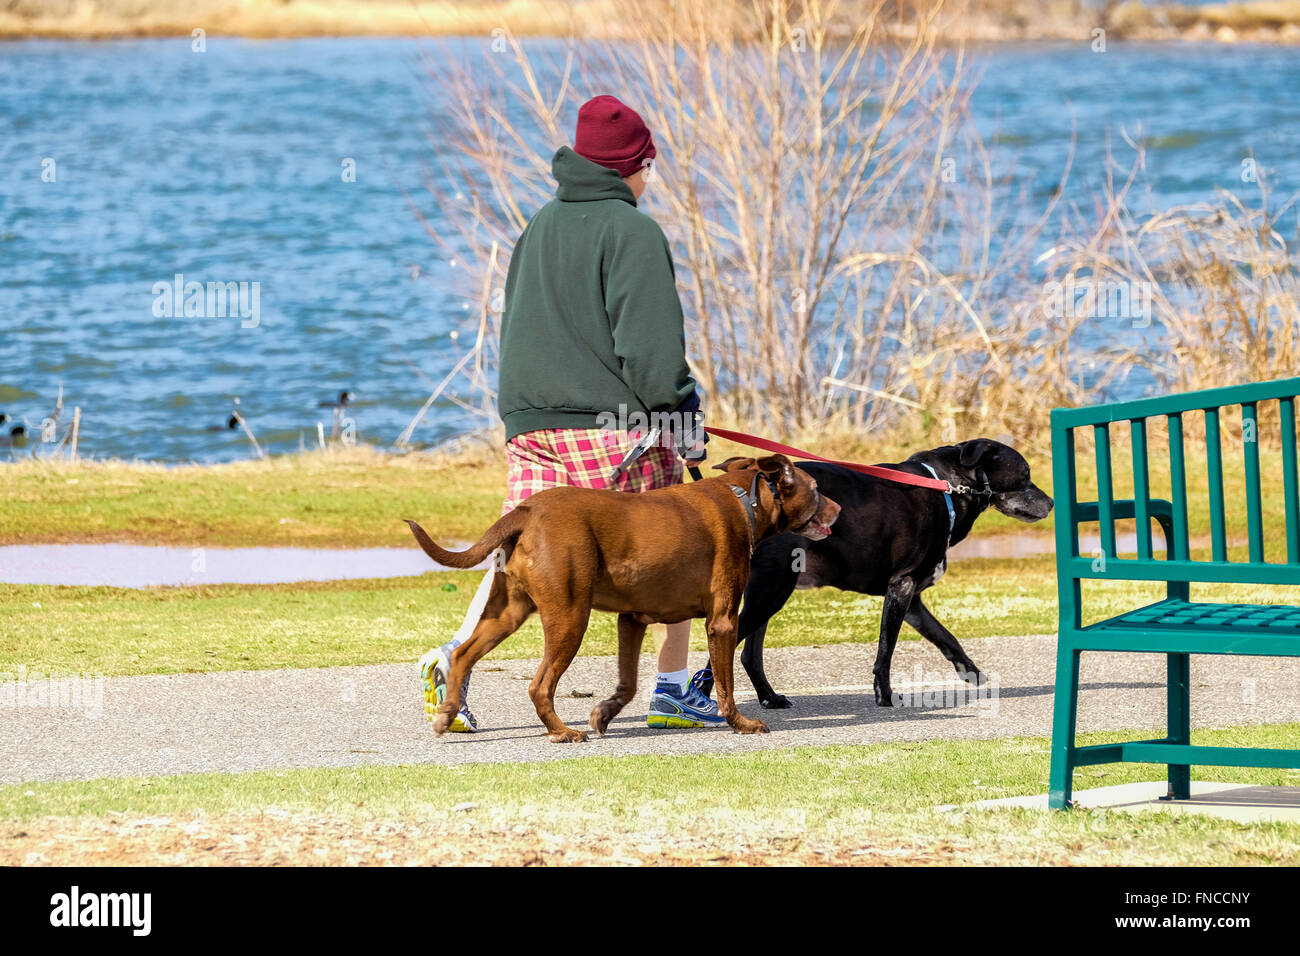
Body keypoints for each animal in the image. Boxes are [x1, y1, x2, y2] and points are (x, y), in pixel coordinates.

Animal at [400, 455, 842, 738]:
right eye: (817, 489)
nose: (839, 510)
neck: (745, 499)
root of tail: (525, 511)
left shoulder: (632, 619)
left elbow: (627, 684)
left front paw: (604, 714)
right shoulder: (723, 622)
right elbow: (725, 685)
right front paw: (742, 725)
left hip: (508, 611)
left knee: (462, 654)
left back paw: (446, 715)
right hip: (569, 616)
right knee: (539, 685)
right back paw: (561, 732)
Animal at [696, 442, 1050, 712]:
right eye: (1025, 476)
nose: (1052, 502)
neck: (947, 489)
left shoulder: (912, 598)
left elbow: (946, 637)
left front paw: (972, 674)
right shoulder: (902, 587)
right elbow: (886, 651)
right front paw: (885, 696)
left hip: (769, 591)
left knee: (749, 654)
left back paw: (769, 698)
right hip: (772, 588)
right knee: (725, 648)